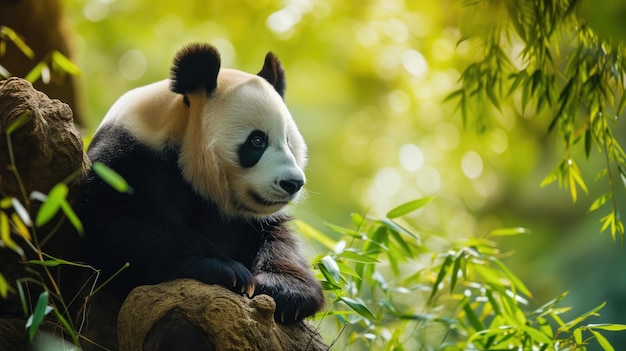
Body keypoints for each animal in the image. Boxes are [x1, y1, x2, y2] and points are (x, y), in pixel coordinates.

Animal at [78, 42, 324, 350]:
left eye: (289, 142)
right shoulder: (127, 158)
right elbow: (117, 221)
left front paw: (281, 291)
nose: (292, 183)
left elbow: (277, 237)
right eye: (257, 141)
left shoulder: (246, 217)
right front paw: (229, 272)